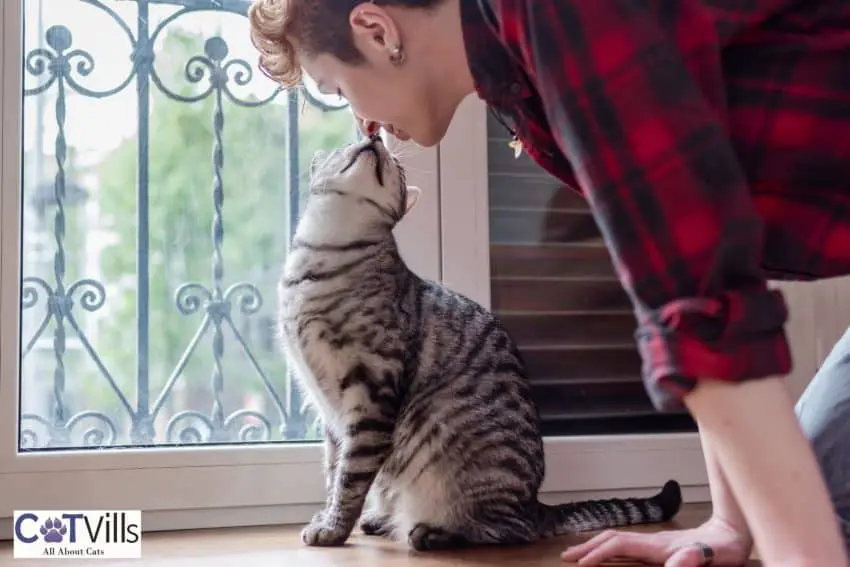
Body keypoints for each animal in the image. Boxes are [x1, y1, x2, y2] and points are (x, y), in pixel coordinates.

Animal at [278, 133, 684, 552]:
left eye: (397, 165)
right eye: (351, 142)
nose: (373, 136)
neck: (320, 258)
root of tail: (536, 505)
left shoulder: (371, 391)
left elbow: (351, 476)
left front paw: (333, 529)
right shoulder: (328, 409)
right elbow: (334, 471)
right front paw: (327, 516)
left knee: (507, 531)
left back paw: (433, 533)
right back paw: (382, 520)